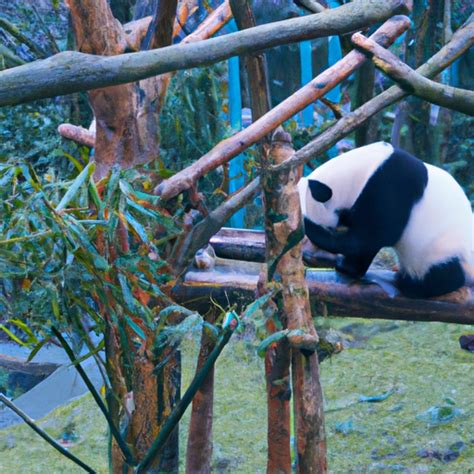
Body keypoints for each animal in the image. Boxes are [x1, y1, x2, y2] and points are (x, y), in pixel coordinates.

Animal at [298, 141, 472, 298]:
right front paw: (348, 268)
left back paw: (411, 285)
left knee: (442, 273)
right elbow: (365, 242)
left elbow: (370, 237)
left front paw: (311, 230)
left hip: (441, 247)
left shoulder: (391, 186)